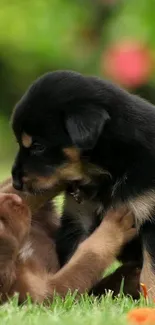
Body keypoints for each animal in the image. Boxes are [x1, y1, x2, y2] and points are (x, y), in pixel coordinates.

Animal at [10, 71, 155, 298]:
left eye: (38, 146)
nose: (15, 183)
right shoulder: (78, 219)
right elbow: (75, 257)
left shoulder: (150, 218)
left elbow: (150, 273)